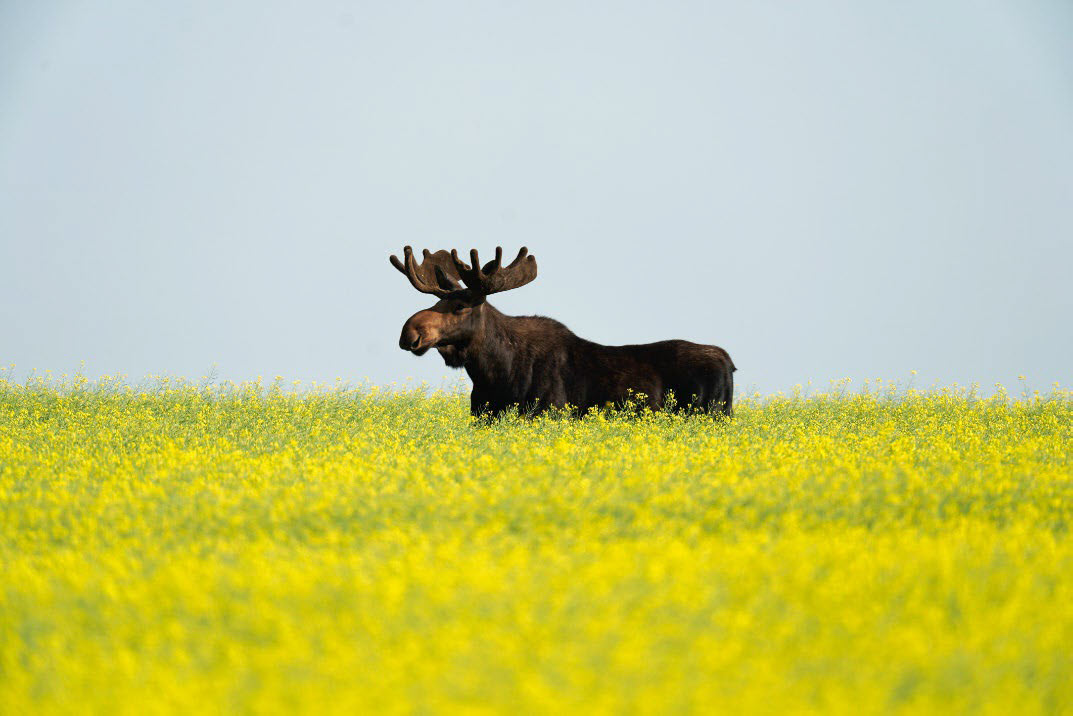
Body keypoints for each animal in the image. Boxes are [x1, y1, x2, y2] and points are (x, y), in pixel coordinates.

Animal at [390, 246, 735, 419]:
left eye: (461, 306)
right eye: (436, 300)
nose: (409, 332)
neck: (493, 372)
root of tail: (729, 362)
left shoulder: (549, 413)